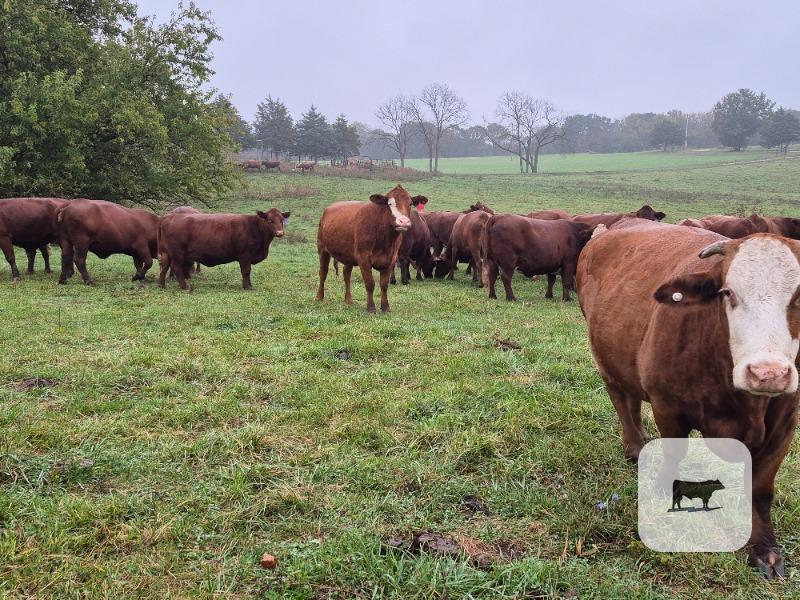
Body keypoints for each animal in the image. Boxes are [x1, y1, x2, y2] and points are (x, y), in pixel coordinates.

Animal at [158, 208, 288, 290]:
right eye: (270, 220)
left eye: (282, 220)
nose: (280, 233)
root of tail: (169, 216)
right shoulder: (245, 255)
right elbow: (246, 271)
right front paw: (247, 287)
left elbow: (248, 272)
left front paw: (250, 285)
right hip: (177, 254)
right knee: (176, 268)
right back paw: (185, 286)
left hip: (166, 253)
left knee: (164, 267)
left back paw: (162, 285)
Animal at [316, 184, 413, 313]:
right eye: (389, 203)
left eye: (411, 203)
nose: (404, 221)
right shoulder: (363, 258)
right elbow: (370, 283)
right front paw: (371, 308)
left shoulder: (391, 258)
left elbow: (384, 285)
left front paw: (385, 307)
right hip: (322, 249)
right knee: (323, 272)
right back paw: (319, 297)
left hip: (348, 255)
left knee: (346, 274)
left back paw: (348, 300)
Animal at [577, 221, 800, 578]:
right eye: (727, 293)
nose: (767, 373)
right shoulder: (668, 408)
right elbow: (673, 456)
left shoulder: (786, 422)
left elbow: (761, 490)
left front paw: (765, 548)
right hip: (604, 356)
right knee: (620, 397)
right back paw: (635, 446)